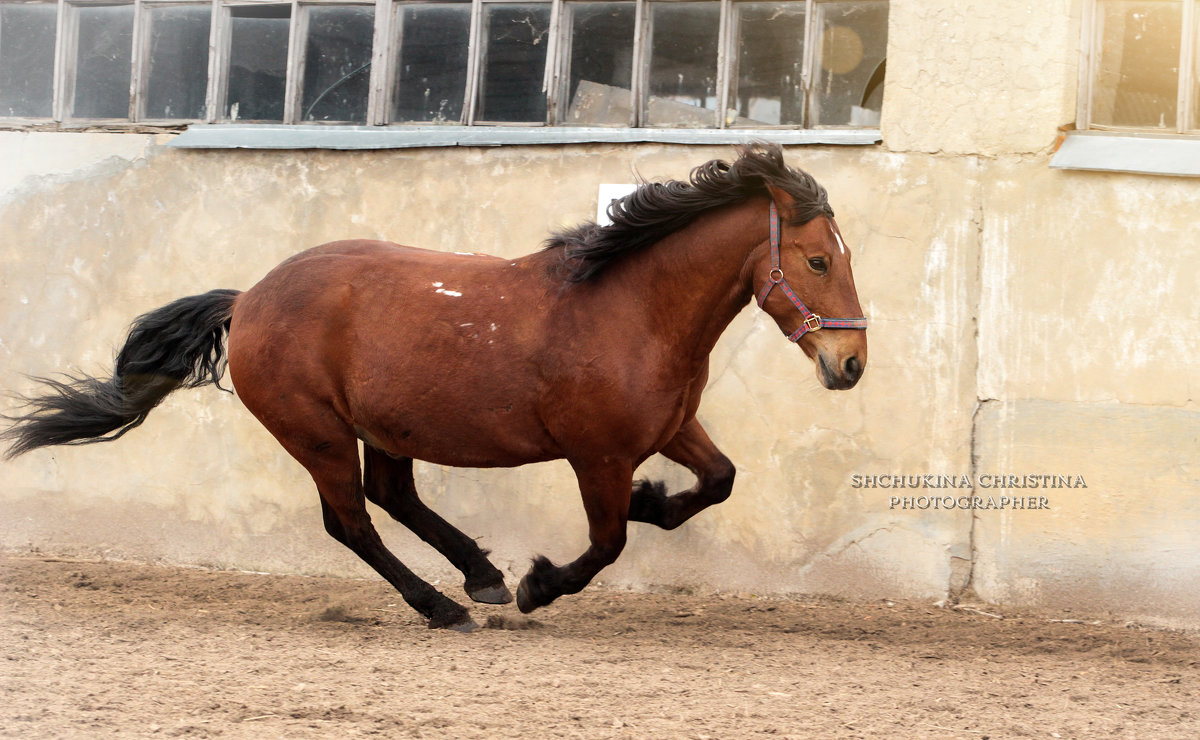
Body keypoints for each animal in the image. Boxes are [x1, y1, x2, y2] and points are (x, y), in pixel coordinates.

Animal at [0, 142, 864, 628]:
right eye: (819, 259)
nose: (850, 363)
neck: (631, 310)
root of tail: (247, 300)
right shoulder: (598, 455)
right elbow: (609, 541)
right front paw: (539, 586)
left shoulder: (669, 429)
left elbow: (718, 481)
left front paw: (652, 505)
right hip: (316, 432)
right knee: (352, 523)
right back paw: (446, 604)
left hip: (384, 428)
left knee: (391, 498)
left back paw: (478, 577)